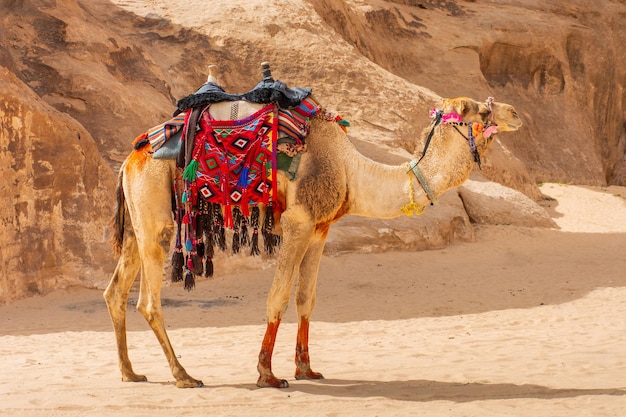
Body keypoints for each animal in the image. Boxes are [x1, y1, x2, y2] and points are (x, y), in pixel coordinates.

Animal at [103, 65, 520, 386]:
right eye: (479, 112)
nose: (515, 112)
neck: (351, 170)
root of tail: (131, 158)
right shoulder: (299, 221)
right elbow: (278, 297)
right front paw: (267, 374)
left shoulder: (321, 228)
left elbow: (307, 298)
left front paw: (306, 369)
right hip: (155, 213)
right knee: (148, 300)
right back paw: (184, 375)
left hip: (138, 221)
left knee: (115, 291)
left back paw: (130, 372)